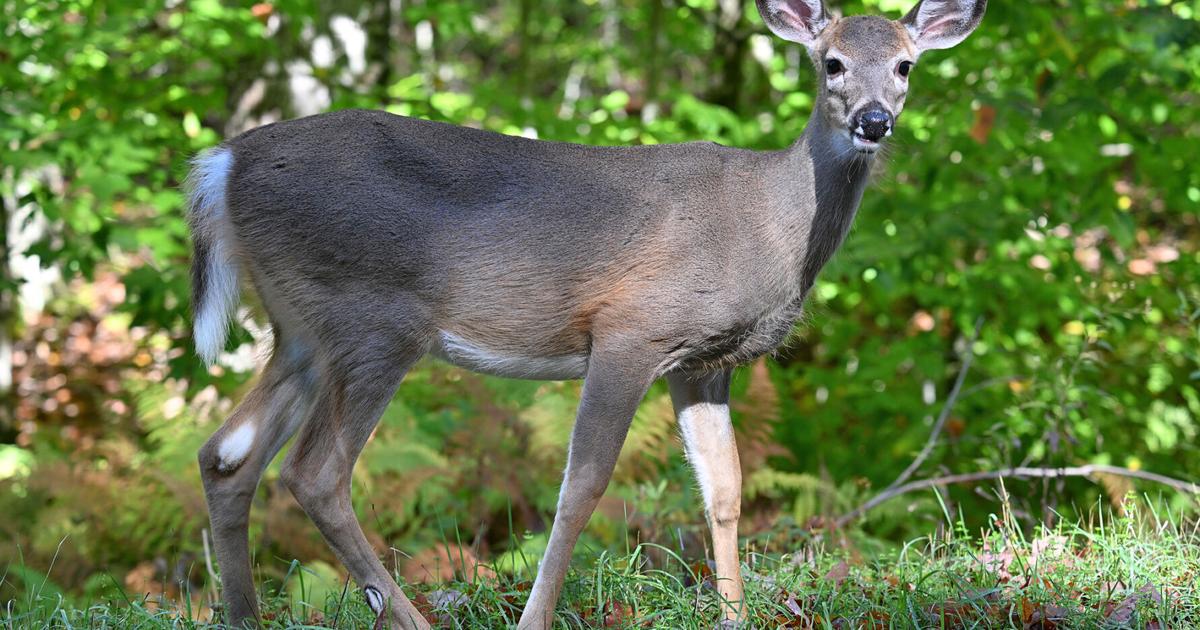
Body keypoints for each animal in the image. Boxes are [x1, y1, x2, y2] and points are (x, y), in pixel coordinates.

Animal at [186, 0, 985, 627]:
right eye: (832, 62)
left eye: (906, 65)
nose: (874, 122)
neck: (769, 225)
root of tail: (222, 165)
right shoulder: (632, 328)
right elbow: (582, 486)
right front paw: (535, 618)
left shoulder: (704, 363)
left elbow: (723, 490)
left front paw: (734, 613)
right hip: (371, 319)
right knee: (316, 473)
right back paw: (405, 616)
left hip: (300, 327)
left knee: (226, 454)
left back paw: (243, 616)